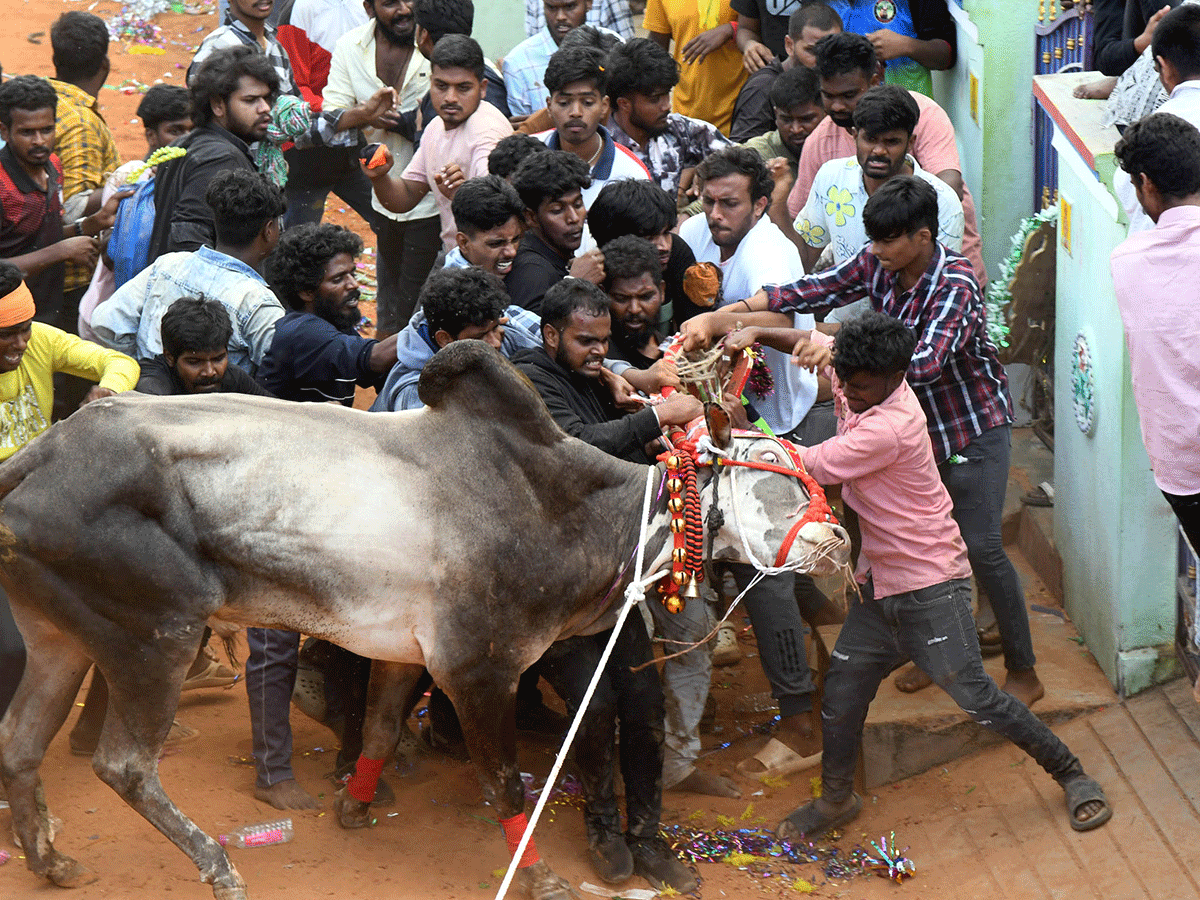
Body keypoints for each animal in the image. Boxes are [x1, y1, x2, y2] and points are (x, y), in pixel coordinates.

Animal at [0, 340, 854, 900]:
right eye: (770, 479)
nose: (839, 541)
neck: (576, 512)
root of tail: (33, 461)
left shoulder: (408, 652)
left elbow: (380, 728)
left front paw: (354, 805)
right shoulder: (478, 668)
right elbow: (505, 785)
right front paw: (539, 876)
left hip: (61, 638)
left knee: (19, 742)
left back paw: (50, 860)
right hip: (155, 636)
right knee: (123, 766)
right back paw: (218, 867)